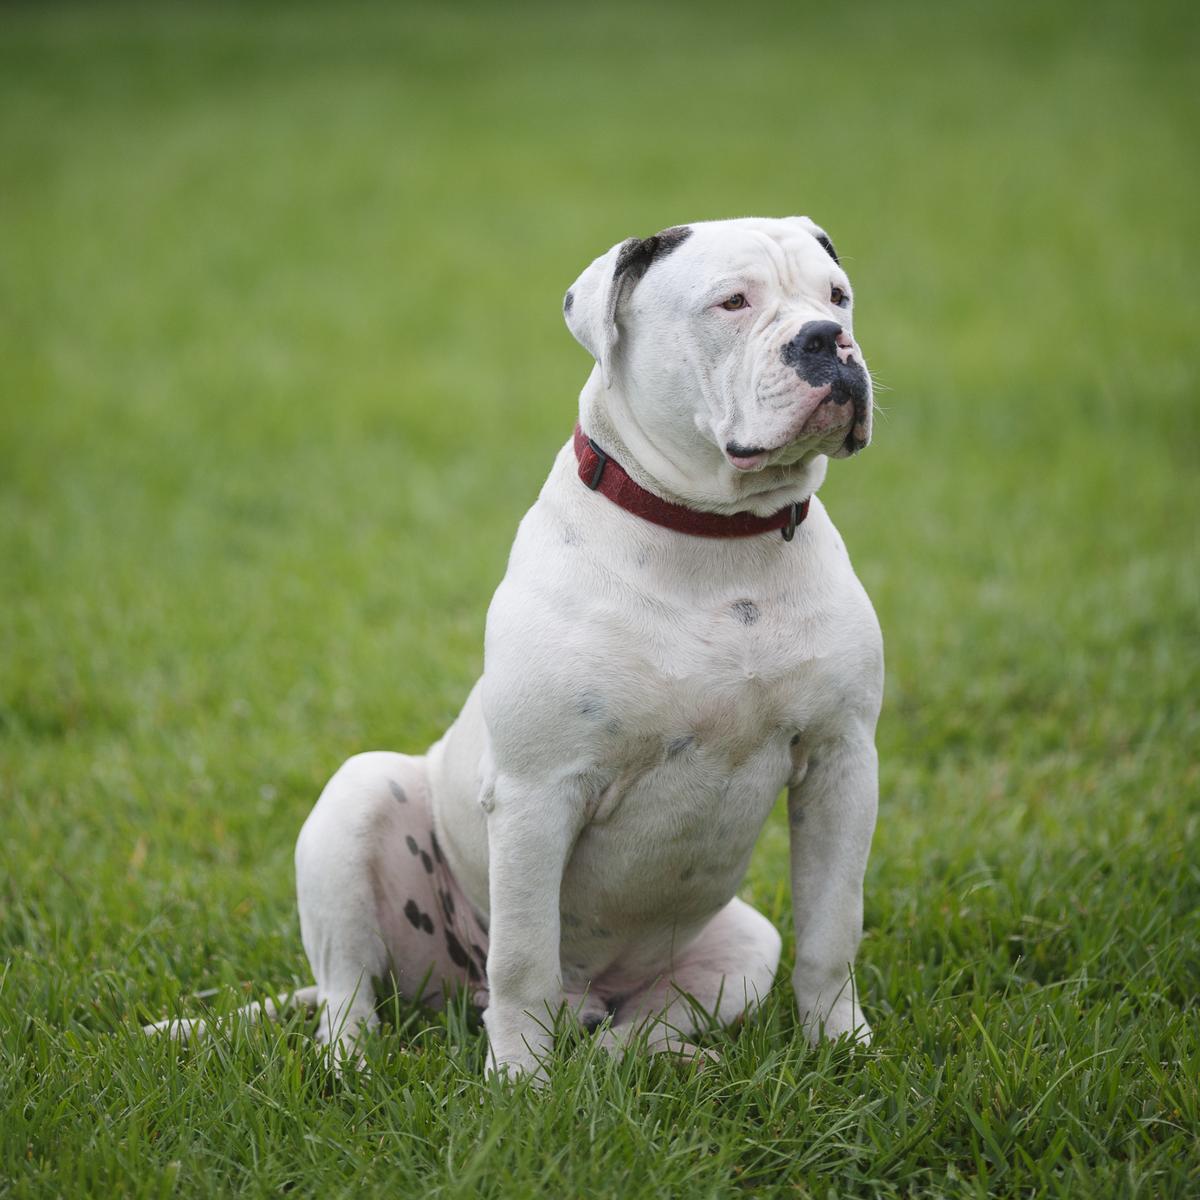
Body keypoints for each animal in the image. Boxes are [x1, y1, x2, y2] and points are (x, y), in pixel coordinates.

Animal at [150, 216, 883, 1080]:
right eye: (732, 302)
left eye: (838, 296)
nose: (828, 339)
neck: (718, 540)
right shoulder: (540, 792)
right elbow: (525, 955)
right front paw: (521, 1085)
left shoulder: (842, 764)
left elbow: (832, 931)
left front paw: (845, 1047)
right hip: (356, 807)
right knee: (350, 993)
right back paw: (357, 1068)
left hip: (739, 941)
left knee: (629, 1036)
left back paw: (673, 1061)